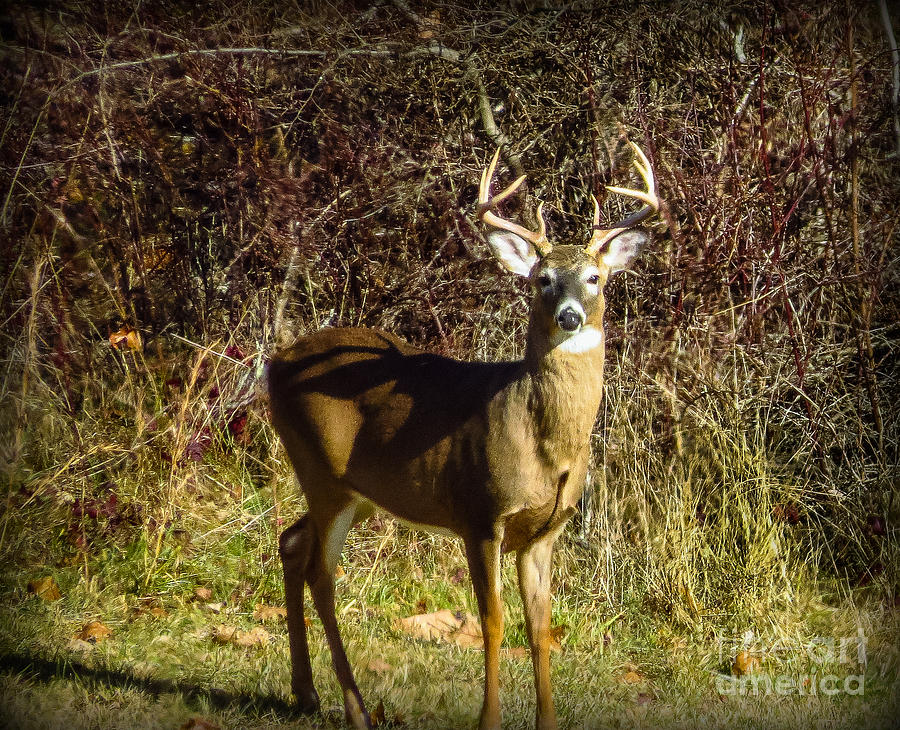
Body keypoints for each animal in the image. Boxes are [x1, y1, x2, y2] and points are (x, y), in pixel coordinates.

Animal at [268, 142, 660, 728]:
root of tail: (274, 364)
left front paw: (546, 720)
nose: (569, 316)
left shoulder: (544, 531)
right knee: (321, 575)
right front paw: (489, 719)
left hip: (355, 490)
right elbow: (493, 622)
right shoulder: (481, 513)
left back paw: (306, 693)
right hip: (322, 472)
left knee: (292, 544)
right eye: (542, 278)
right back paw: (354, 708)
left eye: (594, 277)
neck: (547, 448)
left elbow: (540, 627)